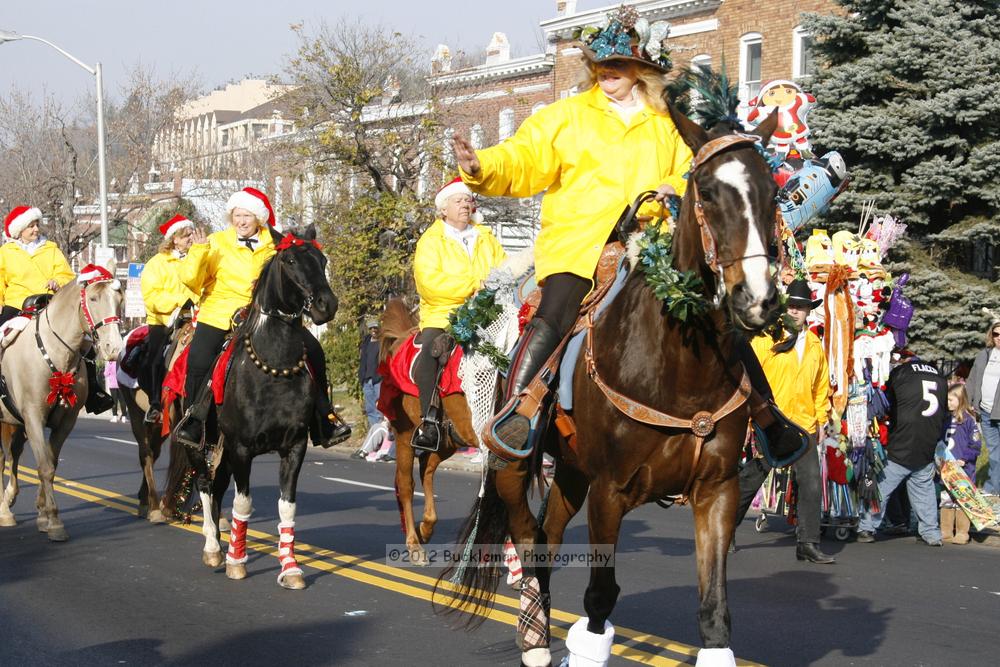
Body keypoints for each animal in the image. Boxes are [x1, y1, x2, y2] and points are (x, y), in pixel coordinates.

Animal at [0, 264, 124, 540]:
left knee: (13, 455)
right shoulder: (34, 416)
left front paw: (44, 515)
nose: (113, 348)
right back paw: (4, 510)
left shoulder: (65, 421)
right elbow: (45, 466)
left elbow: (50, 463)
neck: (57, 355)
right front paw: (54, 522)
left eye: (119, 300)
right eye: (93, 298)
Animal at [187, 226, 340, 588]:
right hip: (202, 446)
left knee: (216, 489)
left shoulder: (294, 447)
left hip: (225, 452)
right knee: (204, 485)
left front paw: (290, 567)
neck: (274, 364)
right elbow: (243, 504)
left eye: (322, 259)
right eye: (290, 260)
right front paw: (236, 561)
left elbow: (287, 508)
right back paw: (213, 547)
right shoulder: (243, 448)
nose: (327, 305)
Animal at [378, 300, 480, 568]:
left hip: (446, 441)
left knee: (426, 469)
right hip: (405, 437)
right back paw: (414, 544)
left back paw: (425, 528)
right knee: (406, 484)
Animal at [442, 111, 784, 667]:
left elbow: (715, 610)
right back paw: (534, 641)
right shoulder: (610, 492)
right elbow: (600, 599)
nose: (757, 299)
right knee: (527, 538)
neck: (680, 371)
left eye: (772, 191)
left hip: (571, 473)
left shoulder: (717, 490)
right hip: (516, 467)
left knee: (547, 537)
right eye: (709, 192)